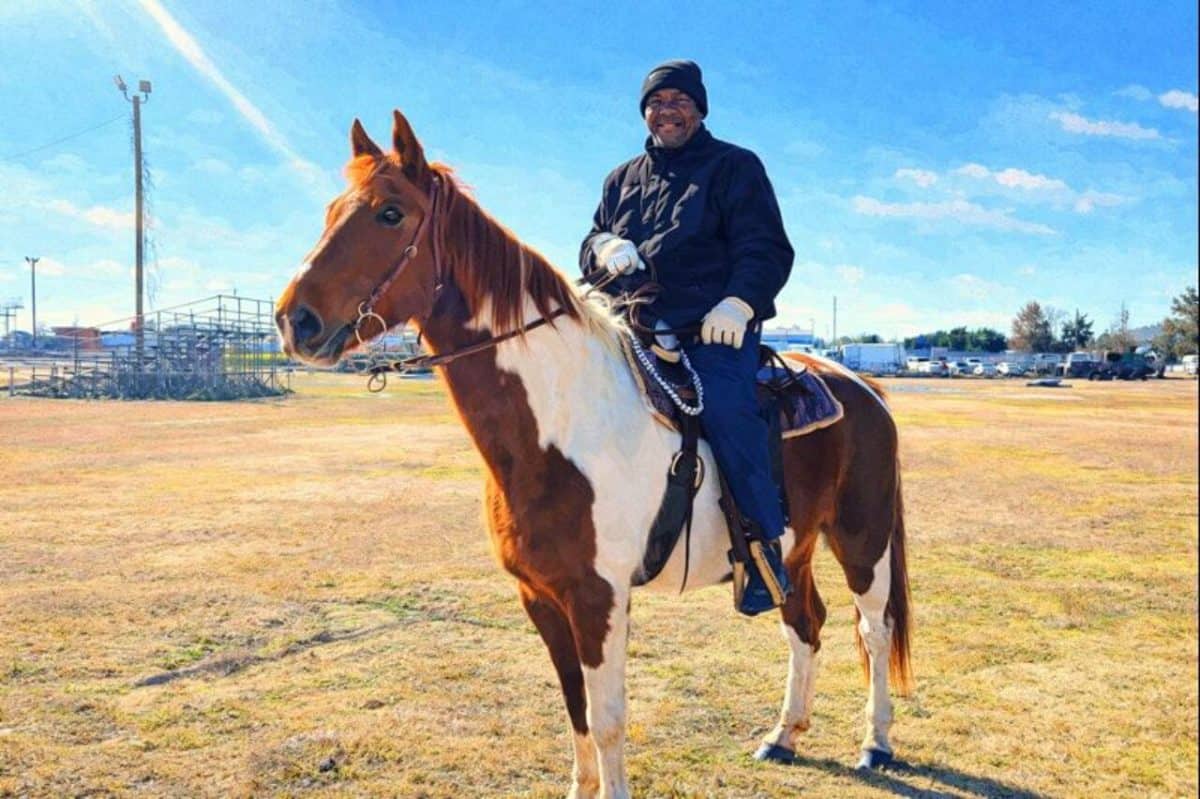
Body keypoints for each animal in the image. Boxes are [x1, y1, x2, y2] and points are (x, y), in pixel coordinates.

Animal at [275, 110, 912, 799]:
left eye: (390, 213)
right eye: (332, 210)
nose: (293, 320)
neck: (562, 426)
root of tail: (860, 387)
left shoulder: (598, 598)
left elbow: (607, 721)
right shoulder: (541, 598)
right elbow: (575, 710)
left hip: (862, 541)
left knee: (873, 630)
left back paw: (876, 743)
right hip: (793, 551)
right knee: (806, 623)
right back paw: (785, 735)